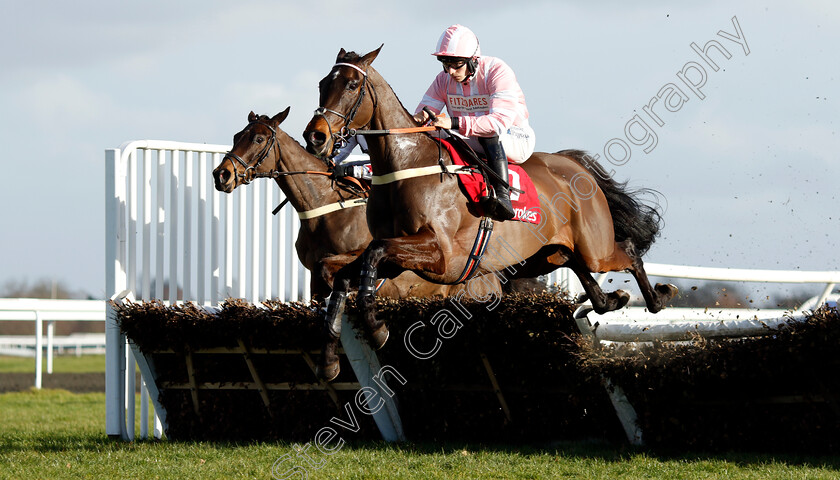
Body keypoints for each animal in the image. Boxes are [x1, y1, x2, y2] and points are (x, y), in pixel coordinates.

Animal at [306, 47, 680, 378]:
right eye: (323, 83)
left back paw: (660, 296)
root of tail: (573, 164)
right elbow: (349, 274)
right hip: (544, 256)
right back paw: (615, 298)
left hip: (594, 249)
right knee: (590, 284)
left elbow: (372, 253)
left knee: (627, 251)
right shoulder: (403, 259)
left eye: (352, 85)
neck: (407, 165)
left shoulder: (440, 255)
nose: (315, 136)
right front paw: (329, 359)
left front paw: (376, 329)